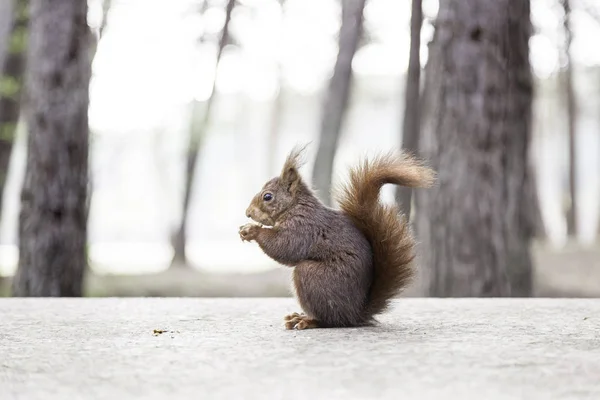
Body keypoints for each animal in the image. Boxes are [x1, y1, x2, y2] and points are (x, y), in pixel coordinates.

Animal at [239, 145, 436, 330]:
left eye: (267, 196)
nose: (248, 213)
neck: (295, 207)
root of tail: (355, 314)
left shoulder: (303, 228)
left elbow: (285, 246)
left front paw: (253, 231)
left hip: (313, 278)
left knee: (331, 319)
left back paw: (309, 320)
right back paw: (298, 316)